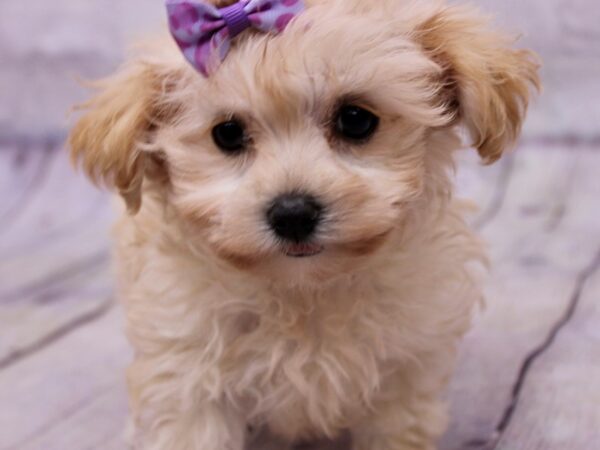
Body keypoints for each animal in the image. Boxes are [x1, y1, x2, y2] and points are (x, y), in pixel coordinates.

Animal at [69, 0, 540, 450]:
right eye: (227, 134)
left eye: (355, 119)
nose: (292, 214)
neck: (304, 293)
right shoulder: (188, 373)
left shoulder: (405, 373)